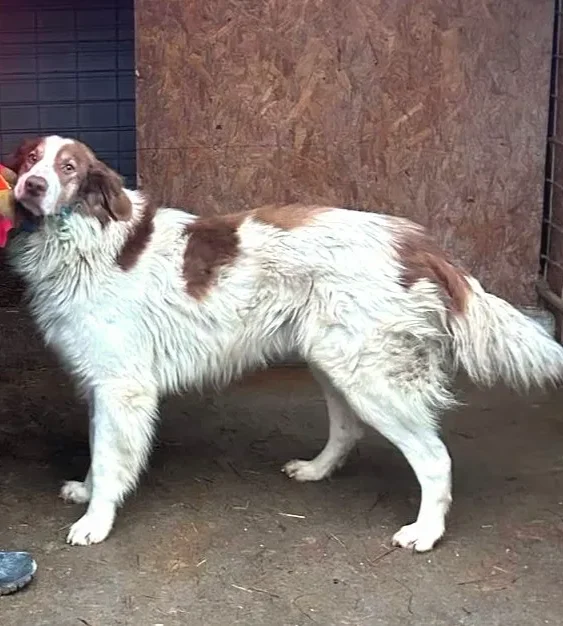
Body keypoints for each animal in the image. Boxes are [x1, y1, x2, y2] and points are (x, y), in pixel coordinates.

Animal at [6, 134, 563, 551]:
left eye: (69, 168)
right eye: (31, 160)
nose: (33, 185)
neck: (84, 239)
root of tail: (416, 242)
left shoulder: (122, 387)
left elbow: (108, 458)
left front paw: (95, 523)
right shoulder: (101, 384)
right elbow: (98, 452)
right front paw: (86, 492)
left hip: (370, 377)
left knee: (434, 457)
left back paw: (425, 533)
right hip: (334, 360)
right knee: (348, 429)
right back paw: (315, 471)